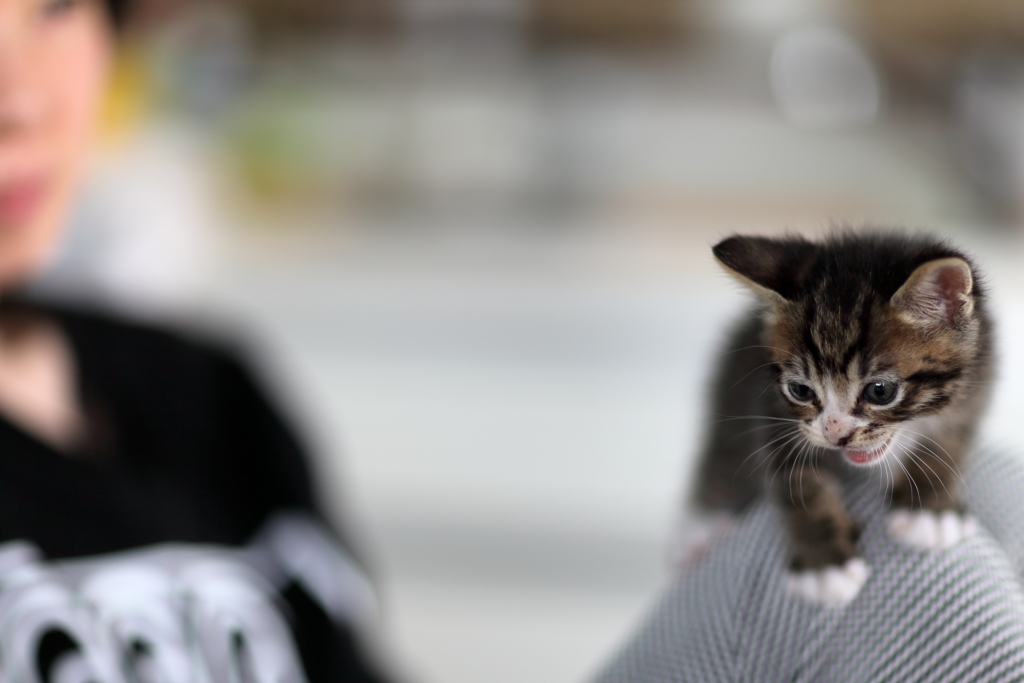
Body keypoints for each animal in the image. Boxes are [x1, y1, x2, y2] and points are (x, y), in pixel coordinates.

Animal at [692, 232, 995, 606]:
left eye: (880, 391)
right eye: (800, 390)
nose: (835, 435)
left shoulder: (976, 388)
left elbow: (947, 445)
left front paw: (930, 511)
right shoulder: (771, 413)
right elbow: (798, 483)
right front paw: (824, 565)